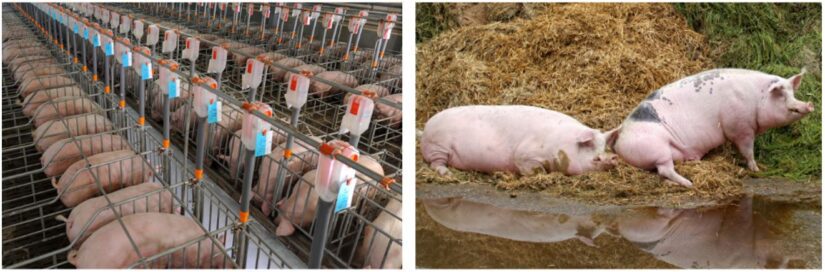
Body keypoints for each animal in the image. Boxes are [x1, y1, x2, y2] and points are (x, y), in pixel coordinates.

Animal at [418, 105, 616, 175]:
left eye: (605, 148)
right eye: (591, 150)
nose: (611, 159)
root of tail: (426, 127)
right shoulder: (525, 155)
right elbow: (533, 169)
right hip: (438, 146)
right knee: (436, 163)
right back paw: (447, 173)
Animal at [608, 68, 816, 187]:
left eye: (792, 93)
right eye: (781, 95)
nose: (809, 104)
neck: (757, 98)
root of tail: (621, 132)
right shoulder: (740, 127)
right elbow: (747, 150)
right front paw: (757, 169)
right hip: (657, 148)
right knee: (665, 169)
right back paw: (689, 183)